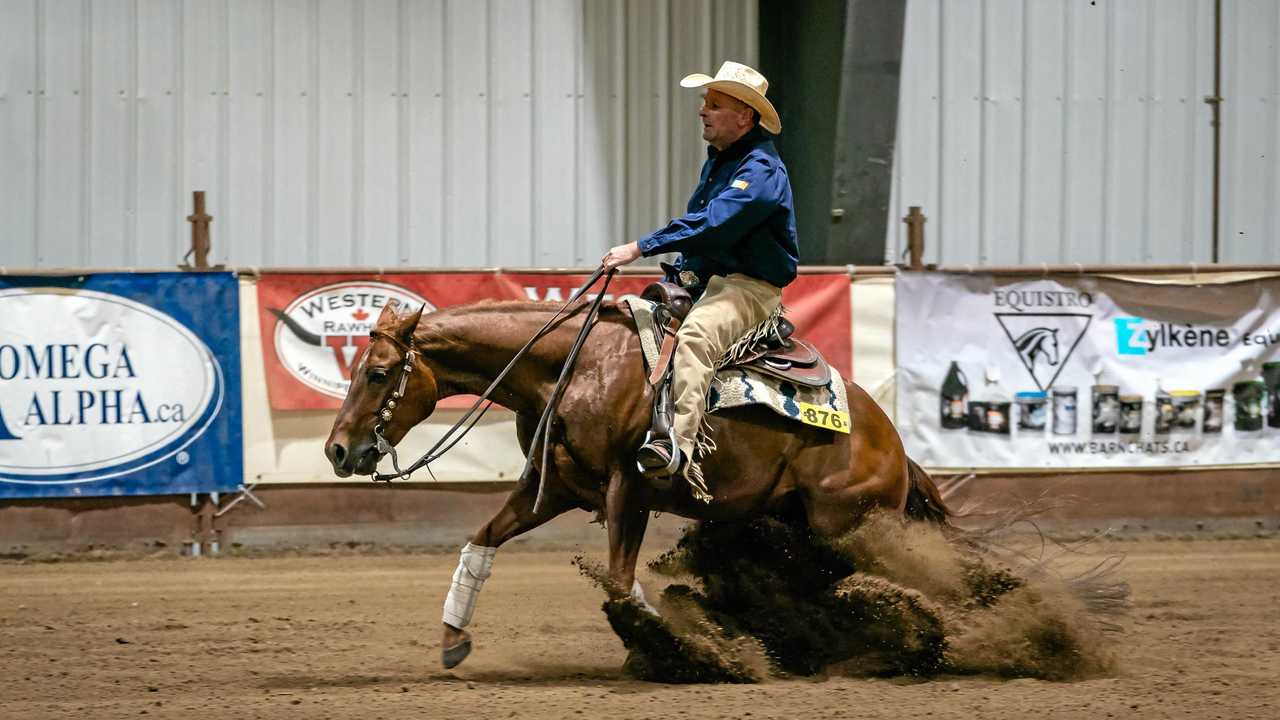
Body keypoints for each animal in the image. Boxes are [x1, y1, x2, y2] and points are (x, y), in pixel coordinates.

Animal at [325, 294, 947, 666]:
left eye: (378, 373)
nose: (337, 449)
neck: (575, 367)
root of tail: (892, 443)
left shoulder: (630, 489)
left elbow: (621, 585)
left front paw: (671, 652)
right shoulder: (553, 488)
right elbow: (481, 541)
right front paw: (454, 639)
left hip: (846, 524)